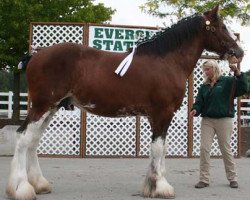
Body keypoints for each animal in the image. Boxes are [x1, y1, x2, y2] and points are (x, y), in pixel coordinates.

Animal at [5, 5, 244, 200]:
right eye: (222, 27)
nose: (239, 52)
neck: (167, 61)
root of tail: (36, 55)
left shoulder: (157, 116)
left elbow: (159, 148)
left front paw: (150, 186)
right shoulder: (163, 112)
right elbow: (159, 148)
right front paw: (162, 187)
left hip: (51, 108)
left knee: (33, 140)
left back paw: (39, 184)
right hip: (42, 106)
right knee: (23, 138)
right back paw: (21, 189)